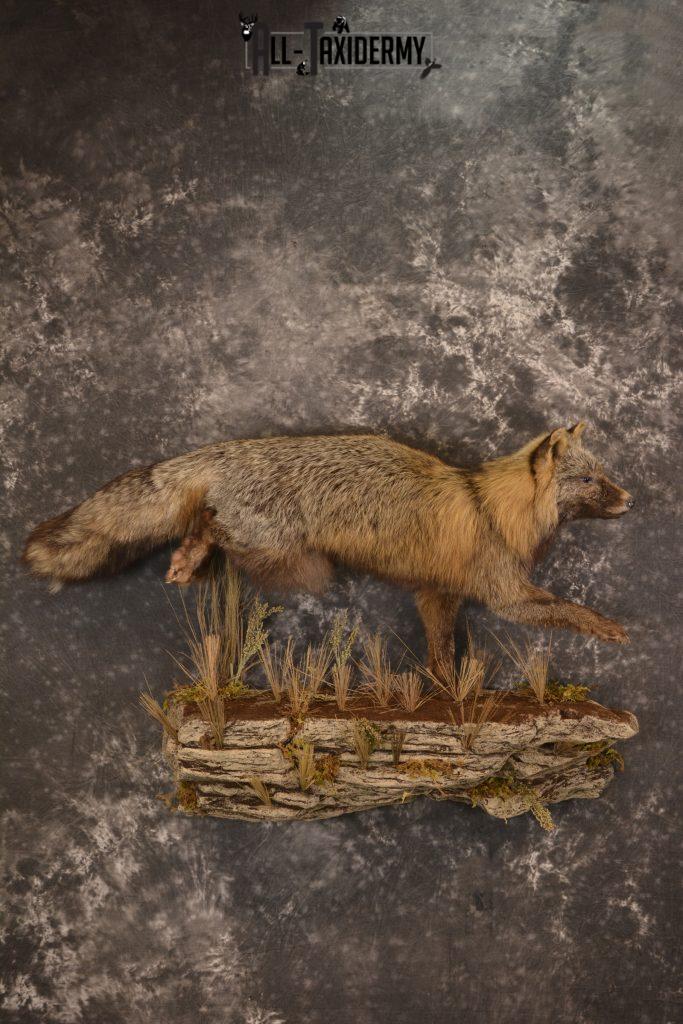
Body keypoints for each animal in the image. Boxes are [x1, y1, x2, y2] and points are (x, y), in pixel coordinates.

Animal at [23, 422, 634, 675]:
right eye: (590, 481)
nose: (630, 500)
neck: (492, 508)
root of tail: (232, 449)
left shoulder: (437, 595)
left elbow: (440, 653)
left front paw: (446, 693)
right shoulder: (505, 595)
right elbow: (563, 609)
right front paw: (610, 627)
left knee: (206, 520)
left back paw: (186, 559)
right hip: (292, 558)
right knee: (216, 529)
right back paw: (191, 555)